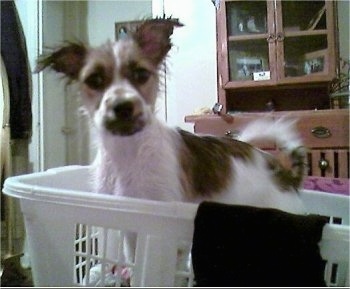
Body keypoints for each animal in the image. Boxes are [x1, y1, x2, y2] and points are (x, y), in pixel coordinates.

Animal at [37, 16, 308, 284]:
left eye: (141, 74)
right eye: (94, 80)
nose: (123, 107)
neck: (129, 152)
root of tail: (285, 174)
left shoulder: (168, 235)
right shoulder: (131, 227)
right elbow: (135, 263)